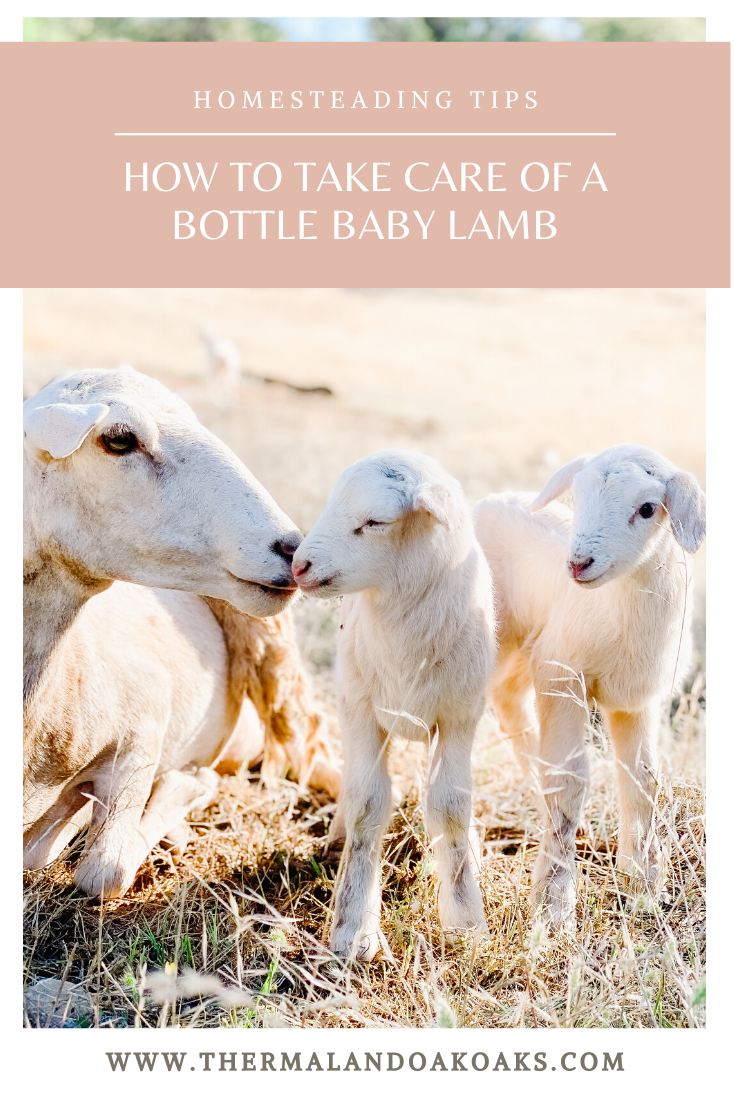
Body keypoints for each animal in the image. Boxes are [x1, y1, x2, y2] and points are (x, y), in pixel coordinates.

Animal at [292, 450, 496, 960]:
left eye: (375, 521)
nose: (299, 565)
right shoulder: (360, 712)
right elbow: (367, 804)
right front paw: (353, 930)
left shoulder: (459, 717)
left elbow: (450, 805)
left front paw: (465, 917)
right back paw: (337, 839)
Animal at [473, 444, 706, 929]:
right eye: (577, 497)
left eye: (648, 508)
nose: (578, 563)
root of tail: (488, 500)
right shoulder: (562, 677)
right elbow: (570, 779)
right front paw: (553, 905)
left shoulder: (637, 698)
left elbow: (643, 780)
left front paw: (643, 886)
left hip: (527, 649)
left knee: (510, 705)